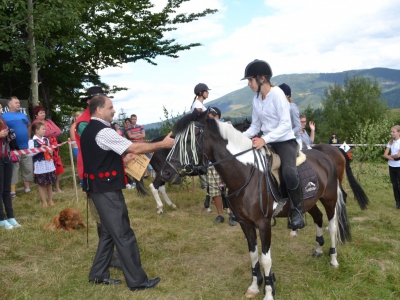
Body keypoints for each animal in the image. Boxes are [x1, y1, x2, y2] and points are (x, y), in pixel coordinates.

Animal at [162, 110, 350, 300]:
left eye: (188, 140)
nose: (166, 172)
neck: (245, 174)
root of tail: (326, 156)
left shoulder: (264, 224)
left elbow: (265, 259)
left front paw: (268, 292)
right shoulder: (245, 224)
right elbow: (253, 255)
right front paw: (254, 286)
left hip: (329, 199)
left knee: (332, 226)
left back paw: (333, 259)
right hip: (309, 202)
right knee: (318, 217)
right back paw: (318, 249)